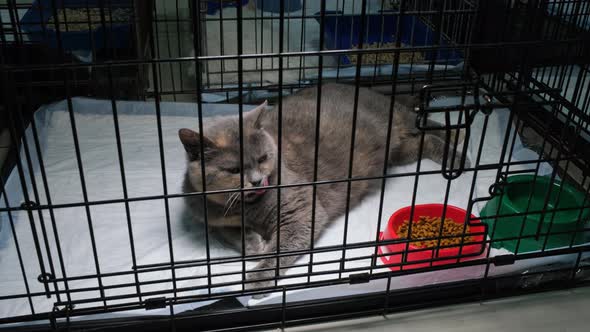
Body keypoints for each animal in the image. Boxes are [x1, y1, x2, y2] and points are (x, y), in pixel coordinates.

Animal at [178, 83, 470, 296]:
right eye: (234, 170)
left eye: (262, 158)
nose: (258, 180)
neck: (248, 207)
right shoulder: (212, 219)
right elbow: (228, 234)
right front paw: (253, 243)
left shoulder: (301, 208)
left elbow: (279, 250)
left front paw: (257, 277)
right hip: (397, 153)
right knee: (423, 139)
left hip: (396, 120)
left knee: (423, 124)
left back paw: (458, 144)